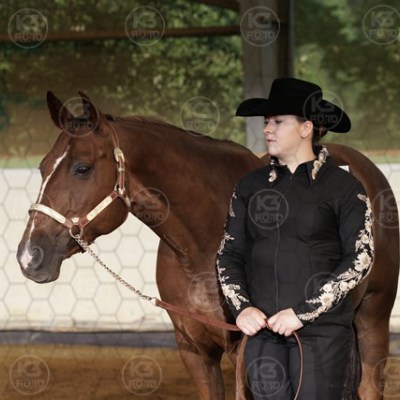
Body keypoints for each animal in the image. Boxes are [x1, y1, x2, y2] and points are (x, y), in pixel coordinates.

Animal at [17, 92, 399, 400]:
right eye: (42, 166)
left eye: (82, 168)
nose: (29, 256)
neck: (202, 244)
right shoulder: (193, 350)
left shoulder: (244, 349)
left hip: (373, 320)